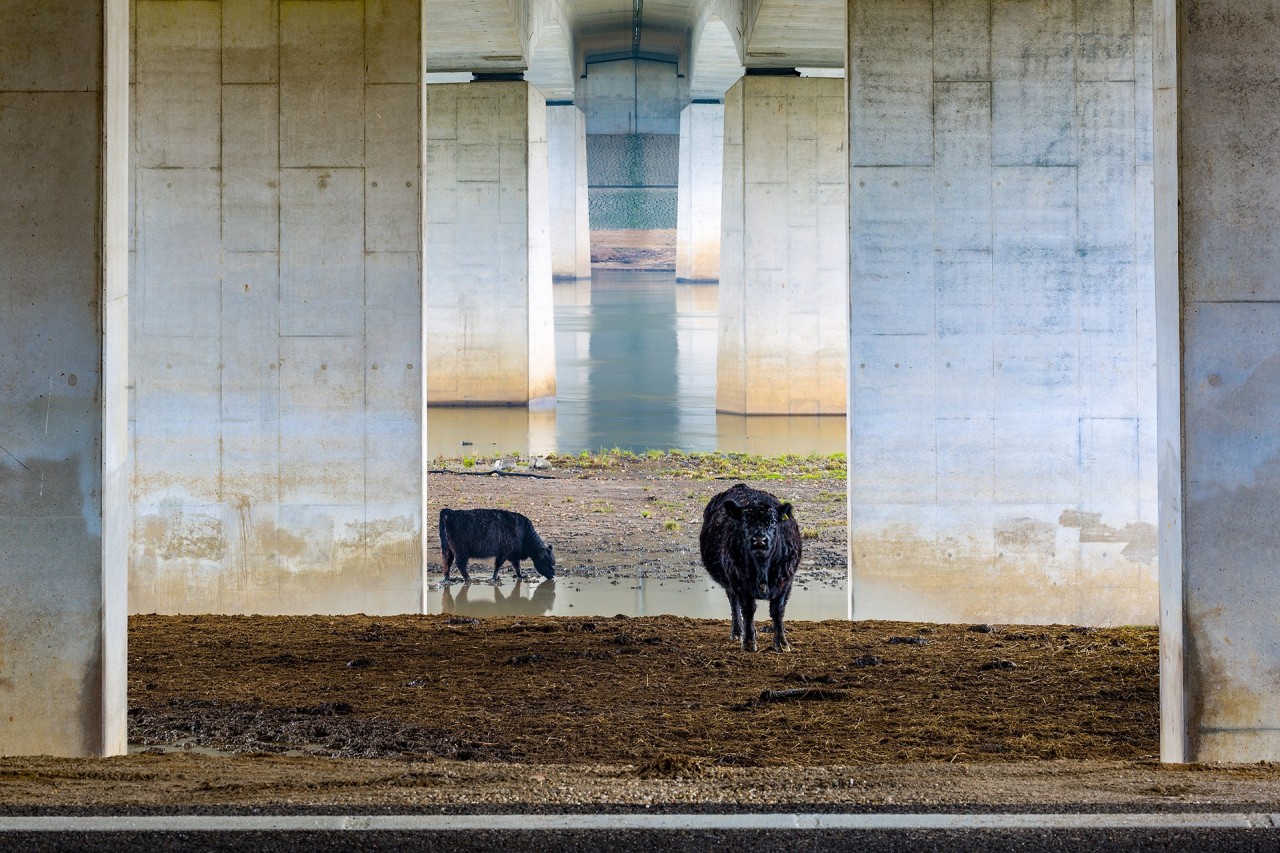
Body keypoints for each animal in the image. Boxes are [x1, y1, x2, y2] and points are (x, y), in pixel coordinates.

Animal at [701, 479, 798, 650]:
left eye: (773, 522)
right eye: (745, 523)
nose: (759, 540)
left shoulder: (785, 581)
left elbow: (777, 610)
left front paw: (782, 642)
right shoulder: (739, 582)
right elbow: (748, 609)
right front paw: (748, 641)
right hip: (729, 581)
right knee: (734, 603)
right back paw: (738, 632)